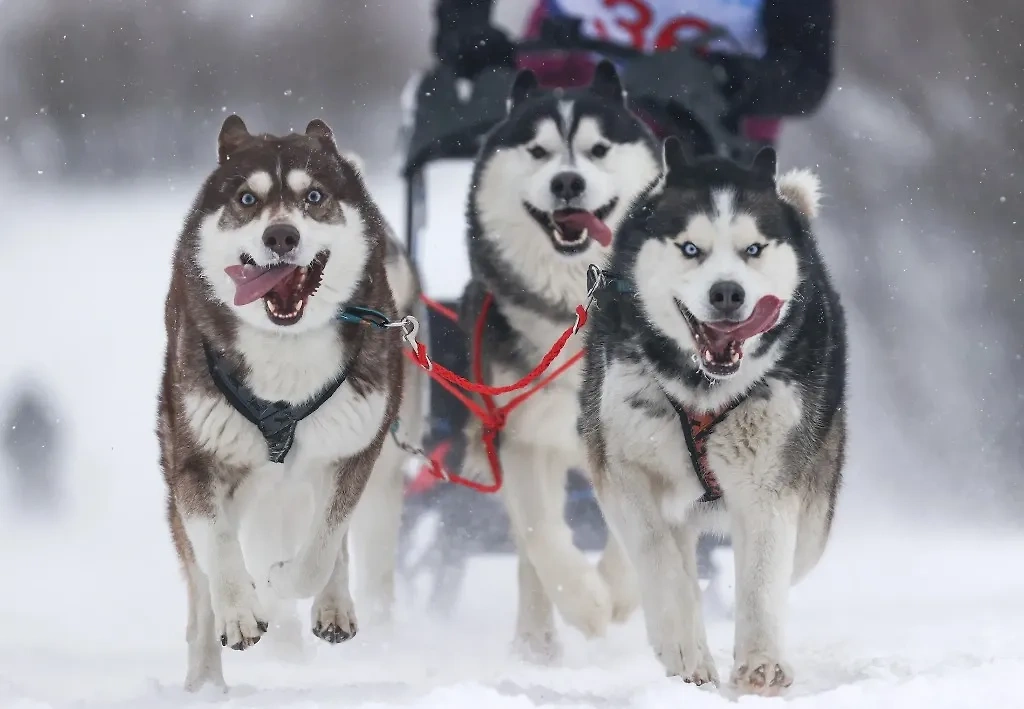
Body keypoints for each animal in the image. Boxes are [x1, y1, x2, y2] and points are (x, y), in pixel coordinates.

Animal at [157, 117, 401, 692]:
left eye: (314, 196)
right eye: (248, 198)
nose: (281, 236)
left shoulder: (356, 449)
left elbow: (321, 548)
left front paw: (279, 583)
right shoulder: (194, 461)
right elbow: (218, 548)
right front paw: (242, 611)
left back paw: (329, 604)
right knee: (201, 589)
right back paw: (207, 683)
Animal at [458, 60, 659, 659]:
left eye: (598, 149)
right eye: (539, 151)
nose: (567, 182)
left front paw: (619, 592)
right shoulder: (522, 435)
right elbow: (540, 535)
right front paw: (588, 604)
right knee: (531, 548)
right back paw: (536, 643)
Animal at [581, 140, 843, 696]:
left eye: (753, 250)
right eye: (690, 248)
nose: (727, 292)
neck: (702, 389)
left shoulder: (770, 483)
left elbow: (762, 576)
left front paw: (761, 662)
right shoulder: (624, 470)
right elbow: (659, 557)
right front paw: (683, 649)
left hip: (813, 513)